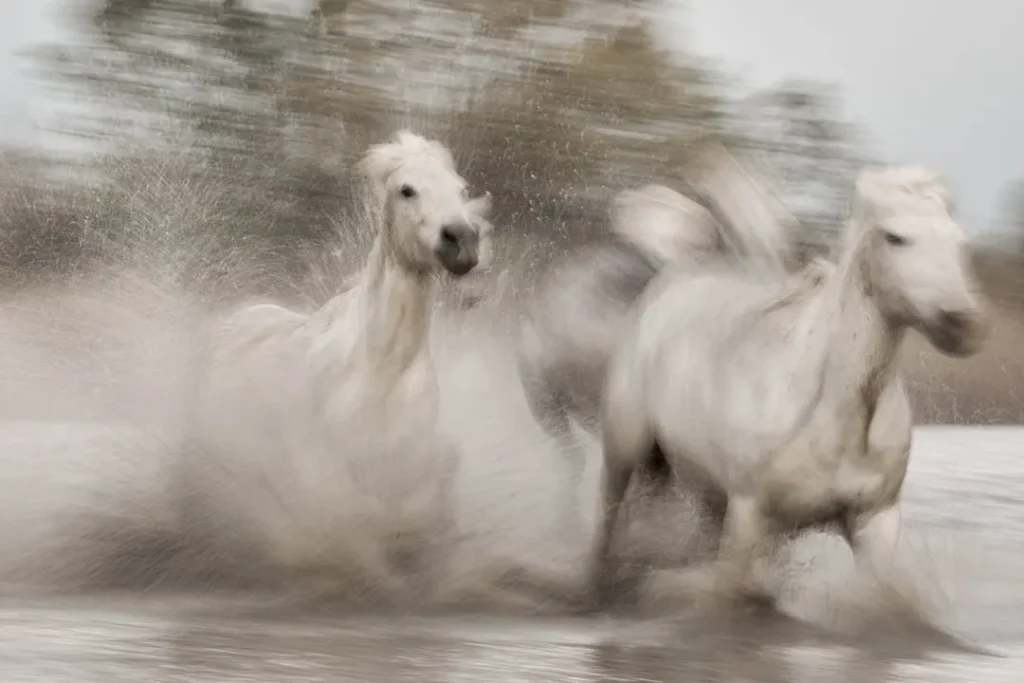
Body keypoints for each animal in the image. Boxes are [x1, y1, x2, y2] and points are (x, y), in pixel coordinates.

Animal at [592, 165, 990, 610]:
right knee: (605, 523)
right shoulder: (749, 512)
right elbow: (732, 590)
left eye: (958, 240)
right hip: (624, 451)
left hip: (698, 488)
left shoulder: (876, 518)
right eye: (895, 237)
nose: (963, 326)